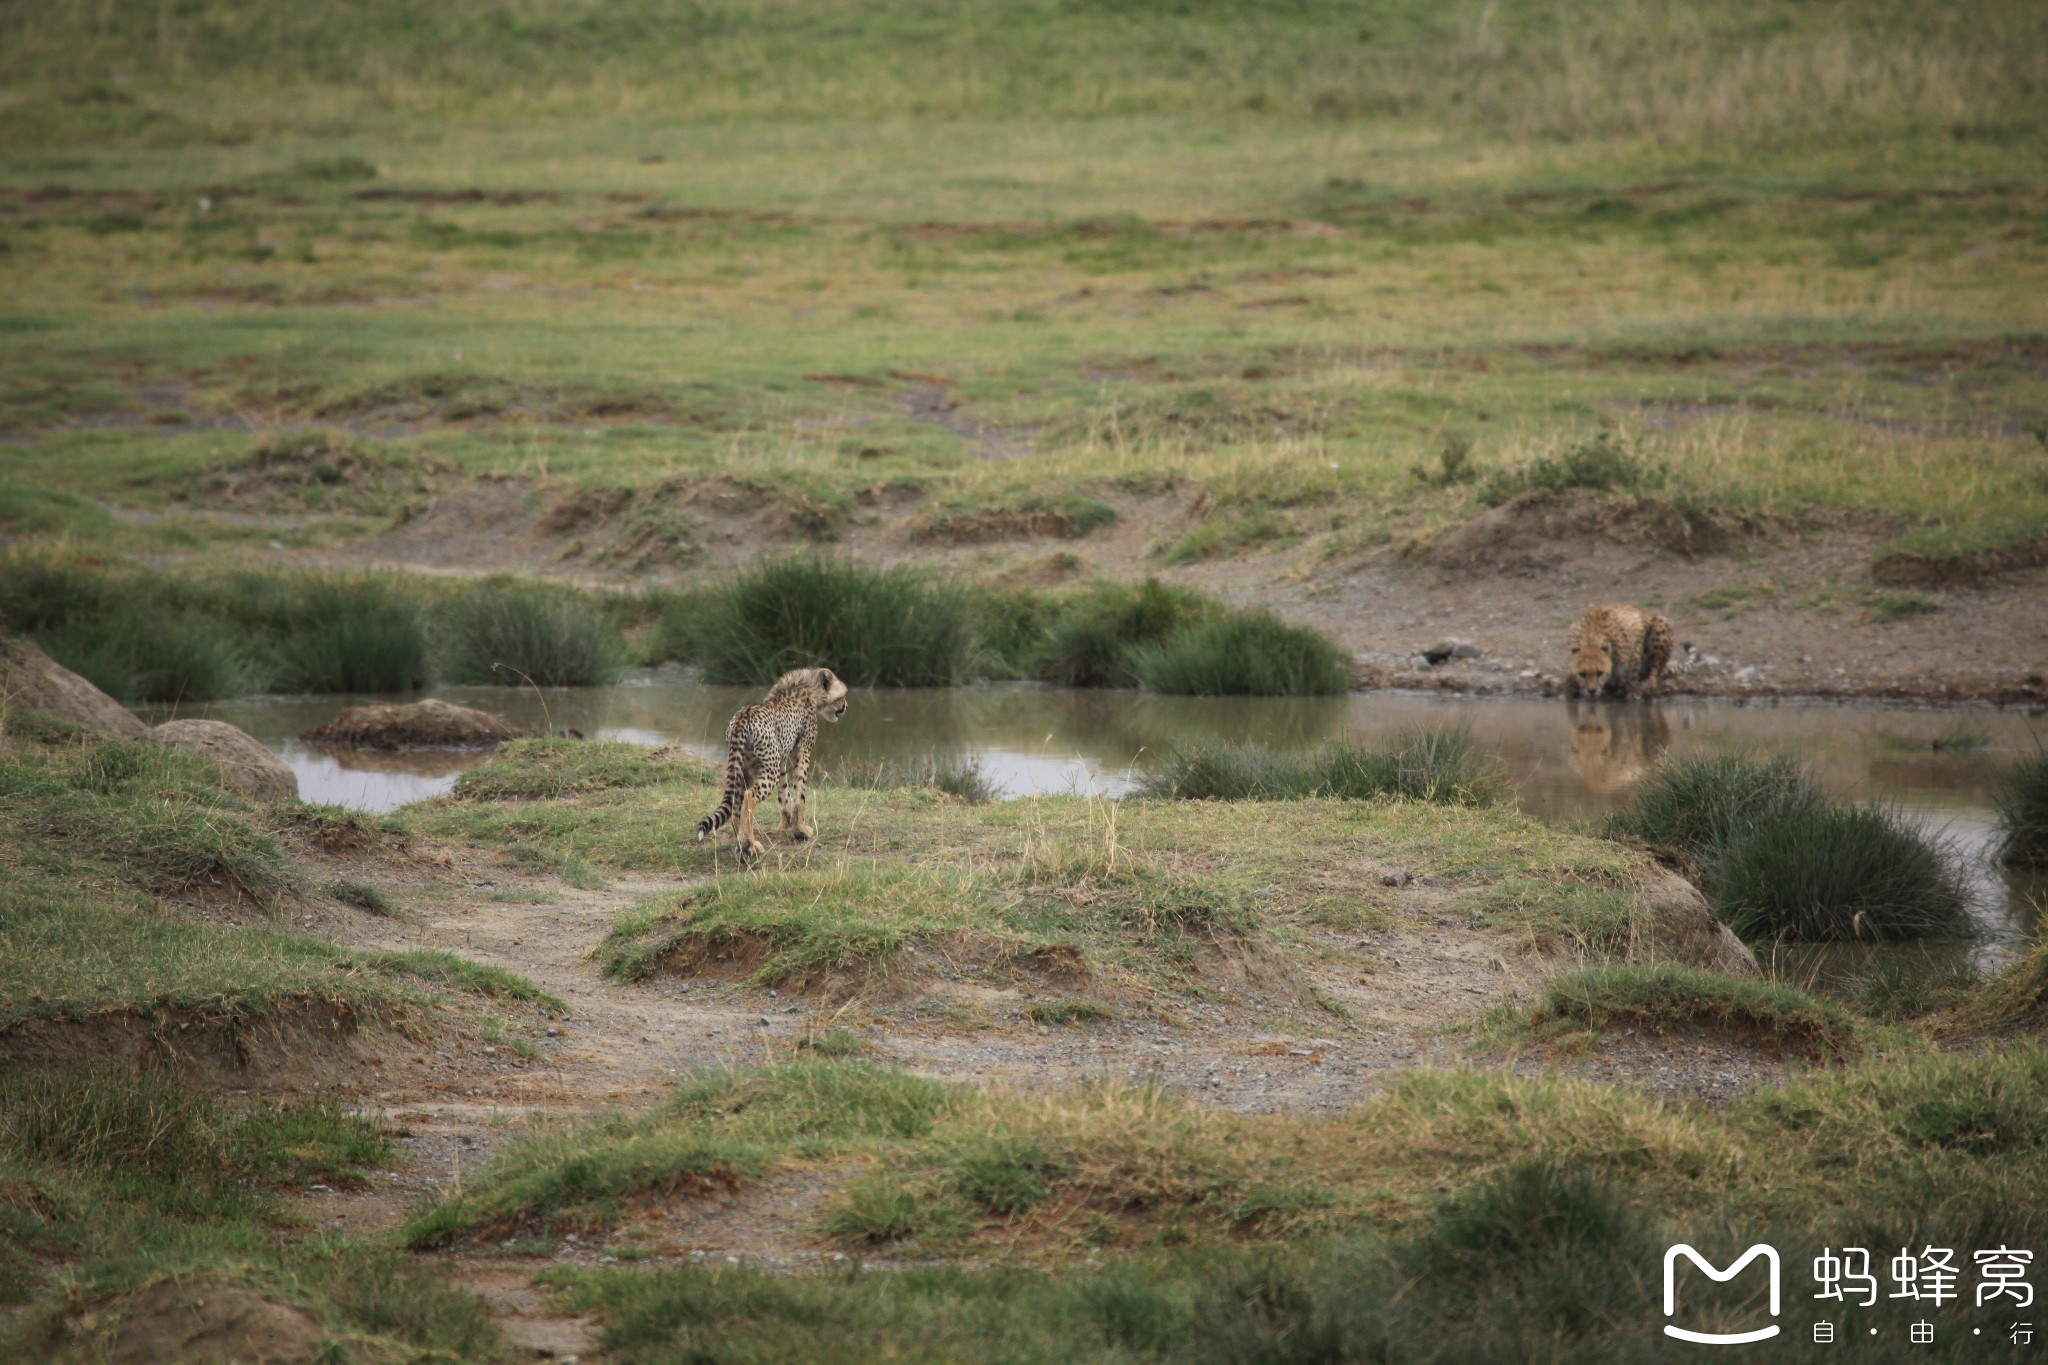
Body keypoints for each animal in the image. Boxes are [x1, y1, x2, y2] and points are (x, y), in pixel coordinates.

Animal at [692, 663, 843, 863]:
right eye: (842, 695)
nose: (845, 706)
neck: (805, 686)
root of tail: (742, 716)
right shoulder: (802, 752)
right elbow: (800, 794)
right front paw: (801, 828)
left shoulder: (781, 759)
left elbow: (784, 794)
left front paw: (788, 825)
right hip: (766, 771)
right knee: (749, 797)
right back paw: (750, 845)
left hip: (743, 769)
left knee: (736, 807)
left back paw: (742, 845)